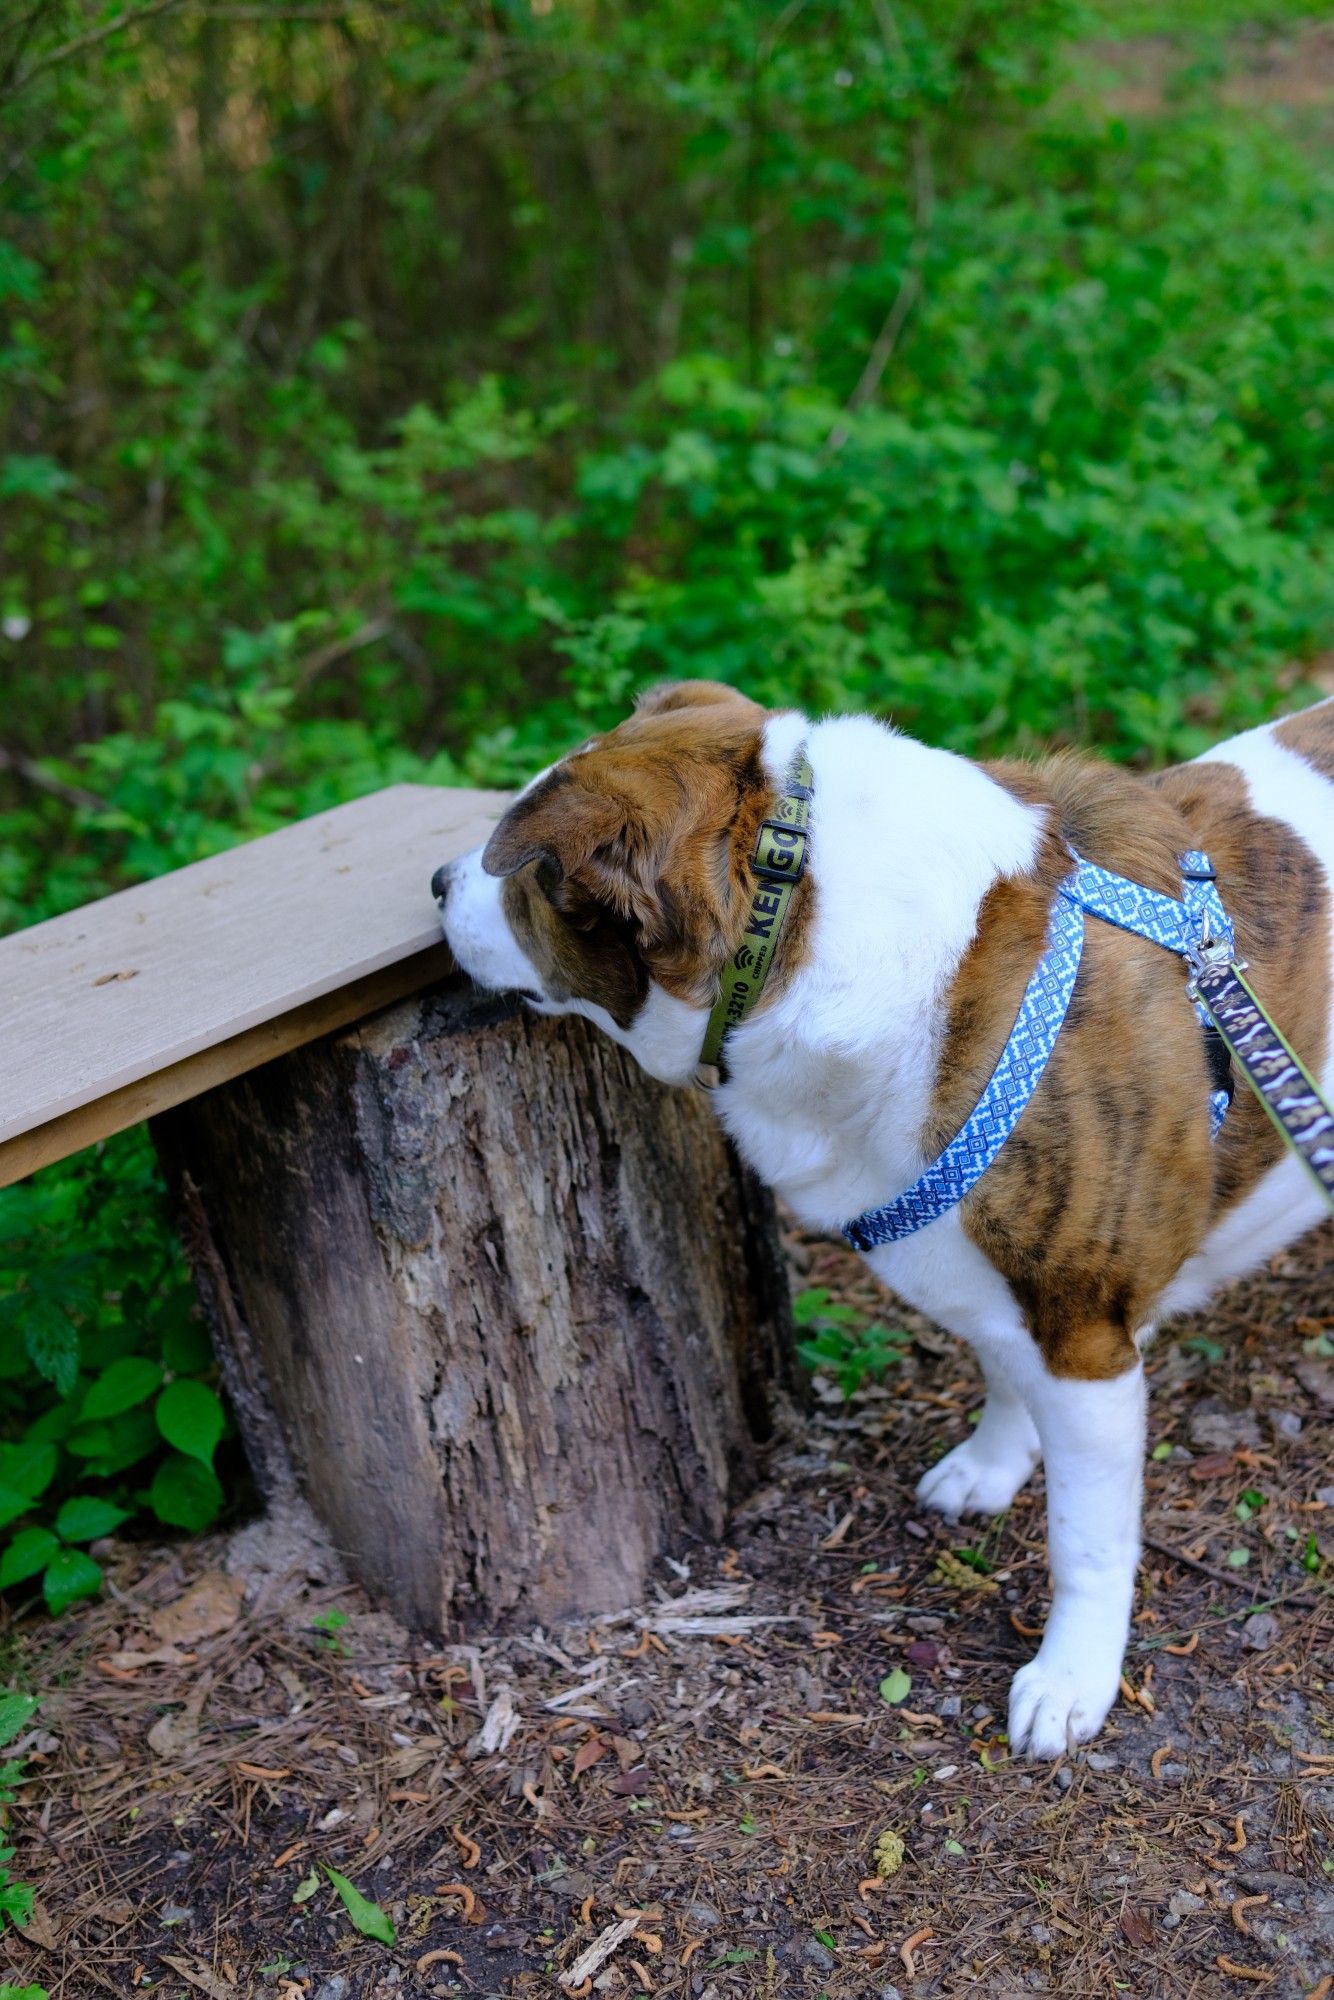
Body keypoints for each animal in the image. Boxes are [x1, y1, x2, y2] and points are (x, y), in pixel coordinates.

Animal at [436, 684, 1334, 1752]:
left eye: (523, 877)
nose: (439, 880)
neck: (806, 918)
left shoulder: (1083, 1334)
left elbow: (1085, 1538)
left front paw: (1072, 1676)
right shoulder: (984, 1277)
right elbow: (1001, 1373)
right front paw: (994, 1464)